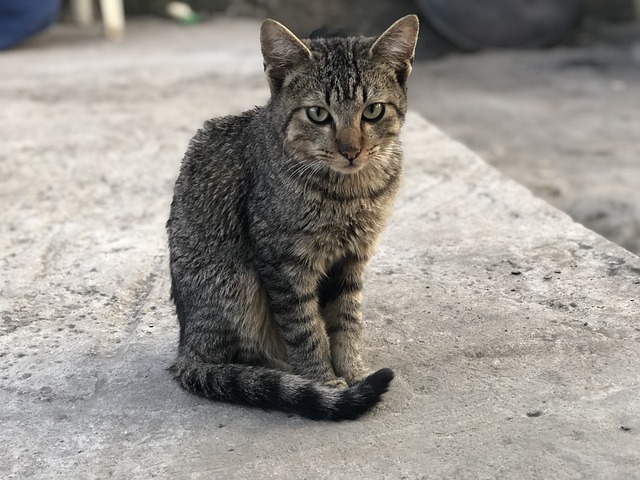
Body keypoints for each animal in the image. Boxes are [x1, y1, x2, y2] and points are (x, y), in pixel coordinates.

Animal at [166, 14, 420, 420]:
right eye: (318, 114)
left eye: (373, 111)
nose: (350, 150)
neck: (348, 192)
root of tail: (185, 348)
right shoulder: (282, 262)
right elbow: (305, 327)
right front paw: (324, 381)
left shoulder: (353, 258)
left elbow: (347, 321)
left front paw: (352, 371)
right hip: (235, 281)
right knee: (243, 360)